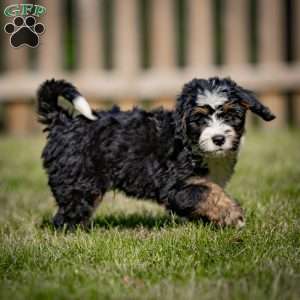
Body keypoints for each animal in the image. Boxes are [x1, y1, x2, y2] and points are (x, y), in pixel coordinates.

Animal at [37, 77, 274, 230]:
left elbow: (205, 197)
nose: (218, 139)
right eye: (198, 119)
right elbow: (208, 193)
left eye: (231, 114)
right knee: (66, 216)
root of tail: (62, 121)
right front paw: (233, 215)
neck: (189, 143)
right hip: (79, 183)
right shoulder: (175, 185)